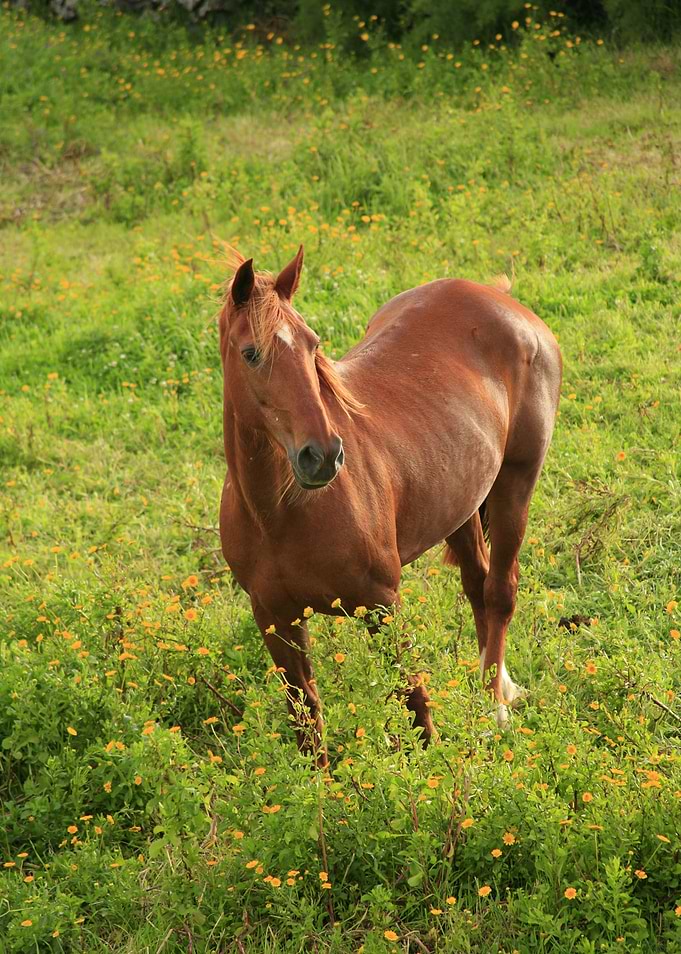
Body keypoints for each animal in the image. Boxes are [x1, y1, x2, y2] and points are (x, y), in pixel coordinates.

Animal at [218, 245, 562, 767]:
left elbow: (413, 700)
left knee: (501, 592)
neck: (279, 513)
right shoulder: (274, 618)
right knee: (478, 587)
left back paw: (494, 709)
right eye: (251, 353)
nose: (323, 455)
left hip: (516, 483)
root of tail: (499, 299)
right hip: (460, 501)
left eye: (312, 345)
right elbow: (307, 717)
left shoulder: (381, 603)